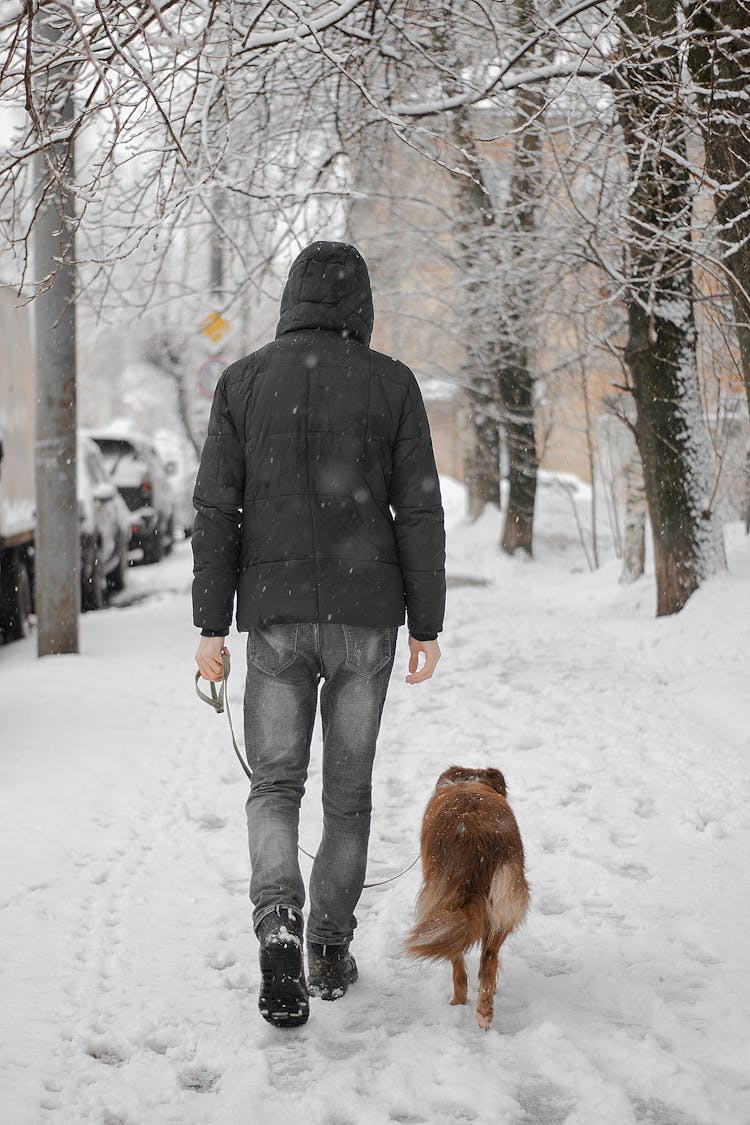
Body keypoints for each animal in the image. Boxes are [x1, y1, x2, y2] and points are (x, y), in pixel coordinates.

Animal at [404, 765, 528, 1030]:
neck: (470, 781)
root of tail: (478, 842)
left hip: (444, 904)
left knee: (457, 957)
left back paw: (459, 1001)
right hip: (504, 900)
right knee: (489, 959)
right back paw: (485, 1010)